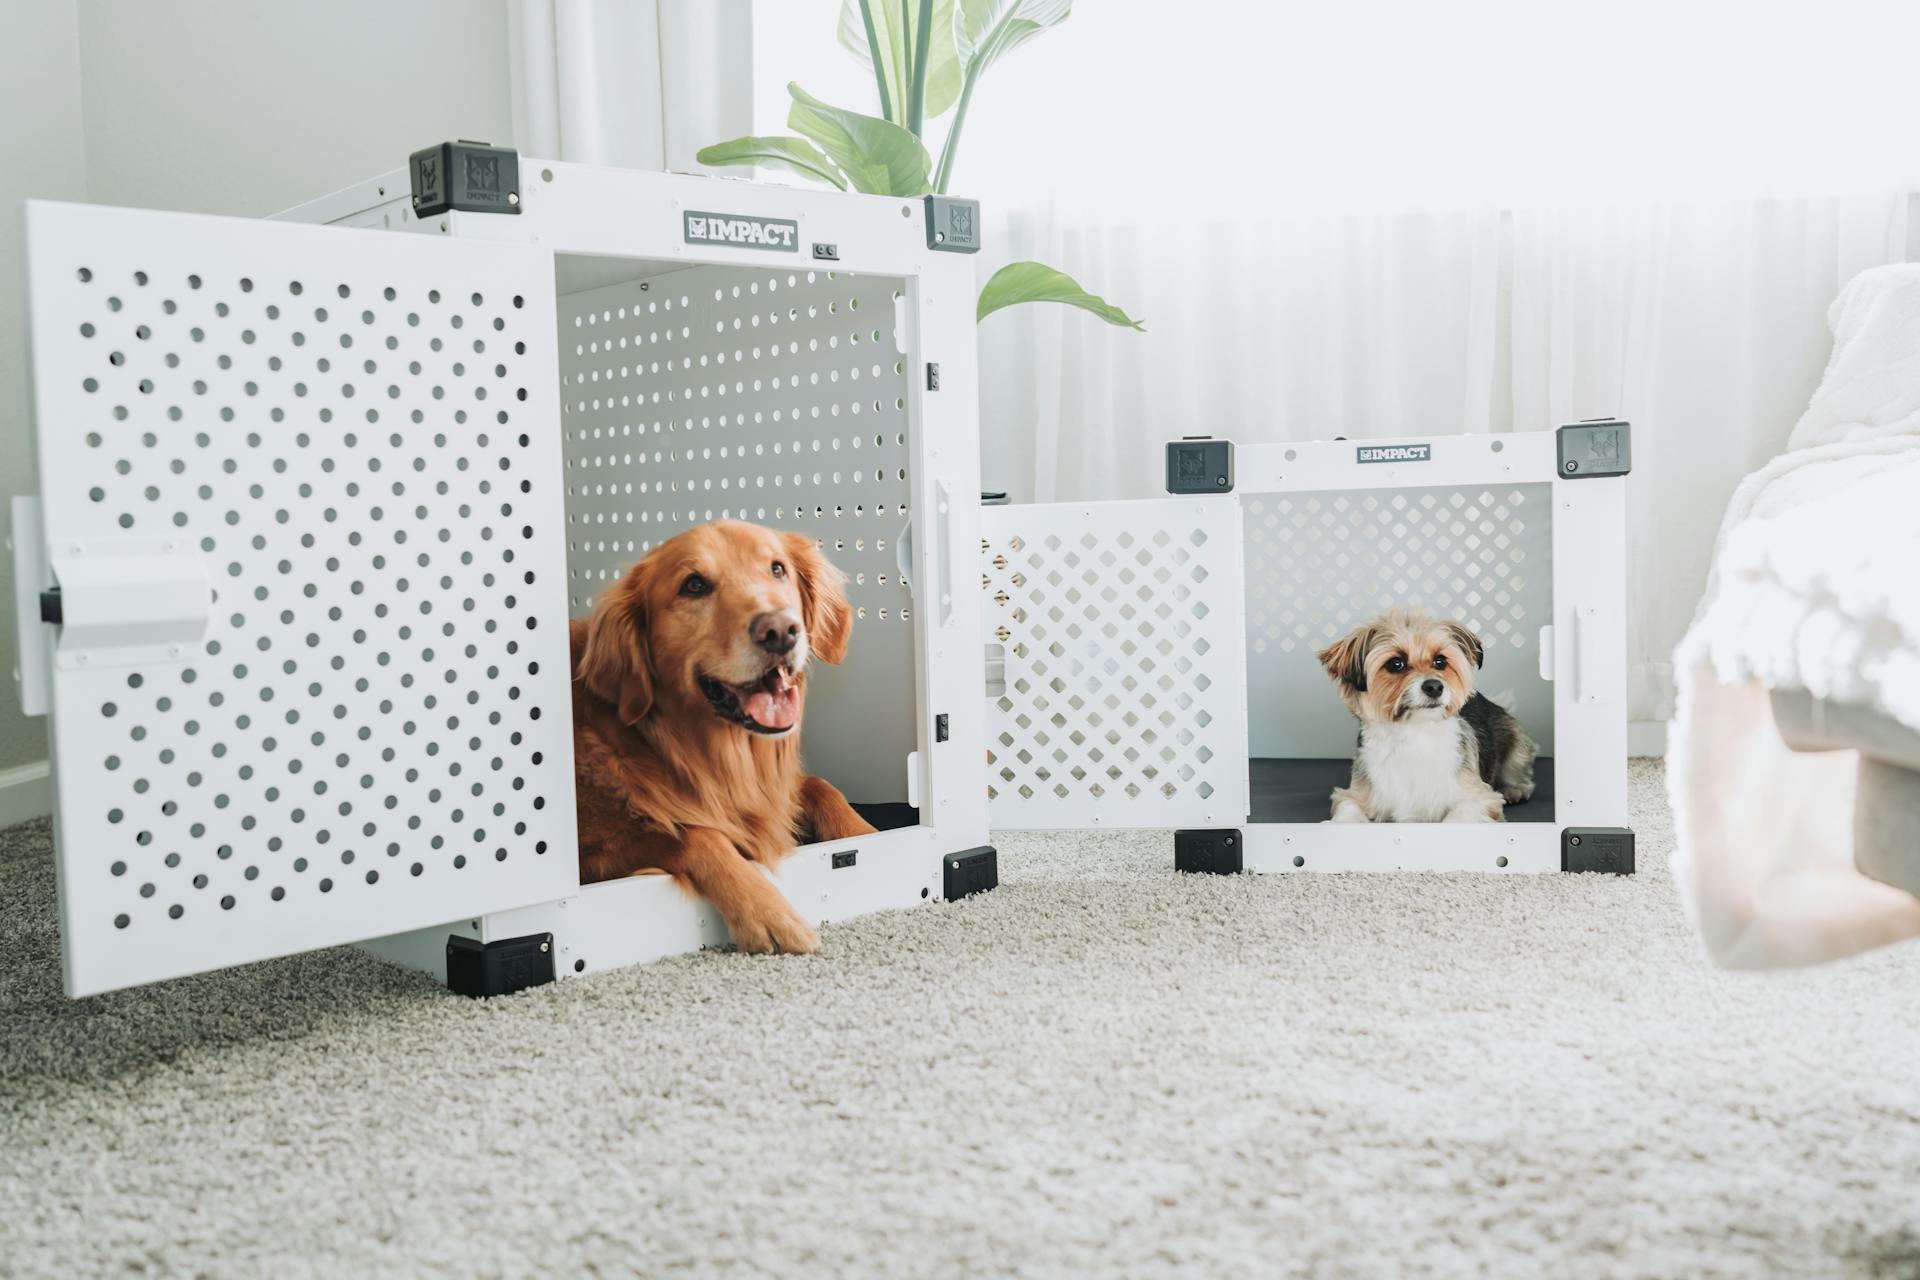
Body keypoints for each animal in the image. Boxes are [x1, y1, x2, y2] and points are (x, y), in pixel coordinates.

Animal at [564, 518, 875, 951]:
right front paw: (768, 912)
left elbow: (822, 787)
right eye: (694, 585)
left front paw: (871, 834)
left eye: (777, 569)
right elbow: (698, 835)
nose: (781, 631)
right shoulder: (588, 855)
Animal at [1313, 614, 1536, 832]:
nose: (1435, 686)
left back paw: (1514, 790)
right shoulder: (1357, 793)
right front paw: (1334, 825)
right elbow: (1348, 807)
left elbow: (1459, 815)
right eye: (1396, 663)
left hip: (1517, 746)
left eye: (1440, 661)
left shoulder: (1482, 798)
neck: (1414, 733)